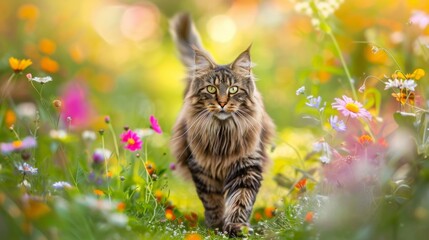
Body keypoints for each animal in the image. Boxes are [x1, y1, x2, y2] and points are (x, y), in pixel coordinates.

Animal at [170, 13, 274, 236]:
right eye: (211, 88)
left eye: (233, 89)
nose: (223, 102)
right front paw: (216, 225)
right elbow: (213, 199)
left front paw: (236, 226)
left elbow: (240, 199)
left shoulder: (247, 165)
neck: (222, 131)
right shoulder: (201, 167)